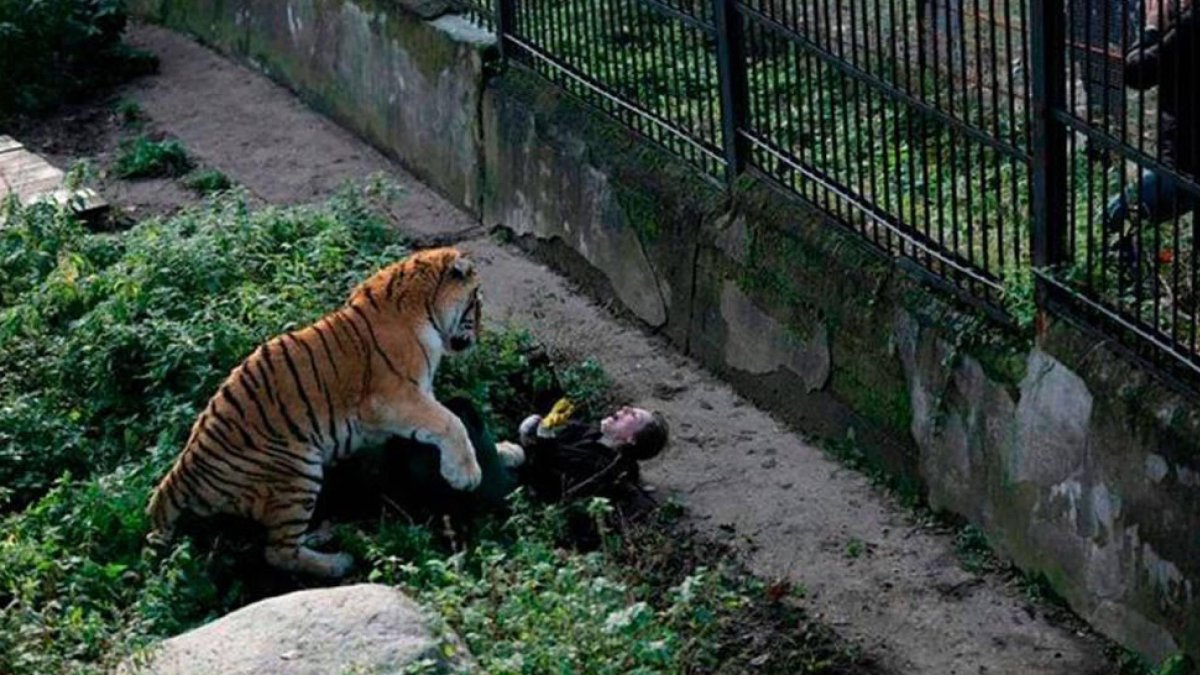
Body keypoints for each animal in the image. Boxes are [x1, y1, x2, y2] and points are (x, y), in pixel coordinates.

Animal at [146, 247, 484, 578]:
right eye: (477, 300)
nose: (480, 334)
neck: (425, 307)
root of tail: (179, 475)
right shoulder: (391, 398)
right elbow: (449, 422)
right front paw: (466, 475)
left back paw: (322, 535)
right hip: (298, 470)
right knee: (278, 552)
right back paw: (337, 563)